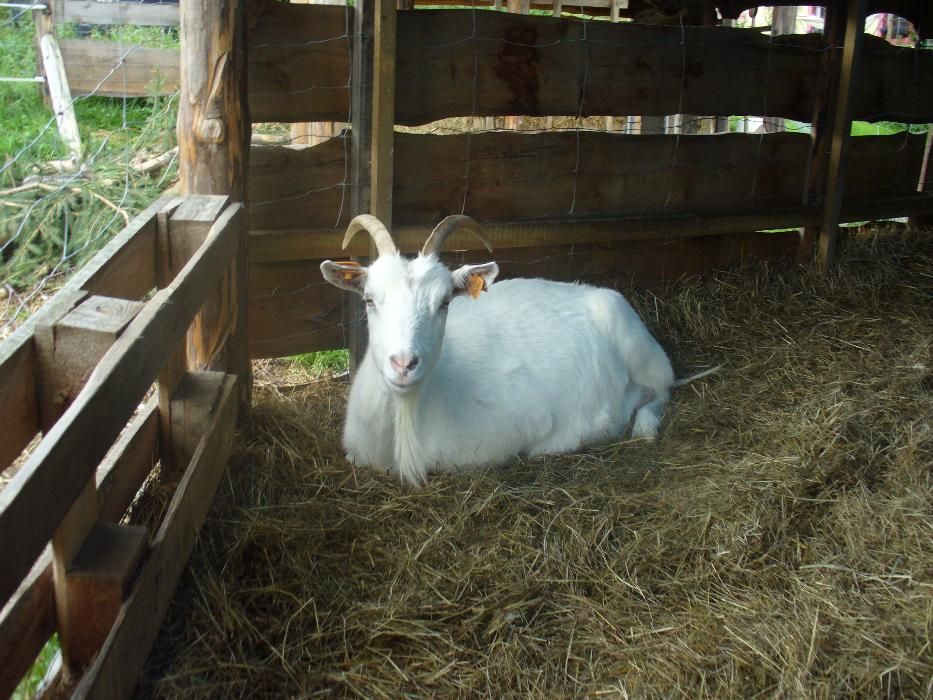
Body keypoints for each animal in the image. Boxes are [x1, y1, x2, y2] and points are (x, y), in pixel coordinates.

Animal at [324, 215, 680, 486]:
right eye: (369, 299)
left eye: (445, 302)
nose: (403, 363)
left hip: (641, 350)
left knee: (663, 387)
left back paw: (644, 427)